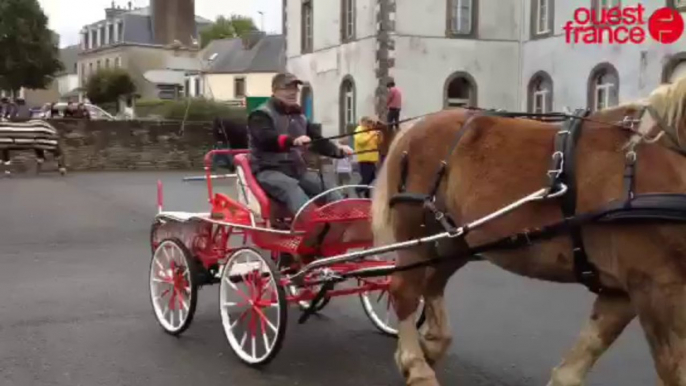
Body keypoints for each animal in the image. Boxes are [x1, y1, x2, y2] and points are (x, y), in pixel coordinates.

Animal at [370, 79, 686, 386]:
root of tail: (413, 128)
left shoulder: (623, 289)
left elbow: (573, 368)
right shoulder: (654, 285)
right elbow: (672, 370)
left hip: (456, 239)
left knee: (432, 283)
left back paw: (431, 345)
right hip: (416, 232)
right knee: (406, 290)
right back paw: (416, 366)